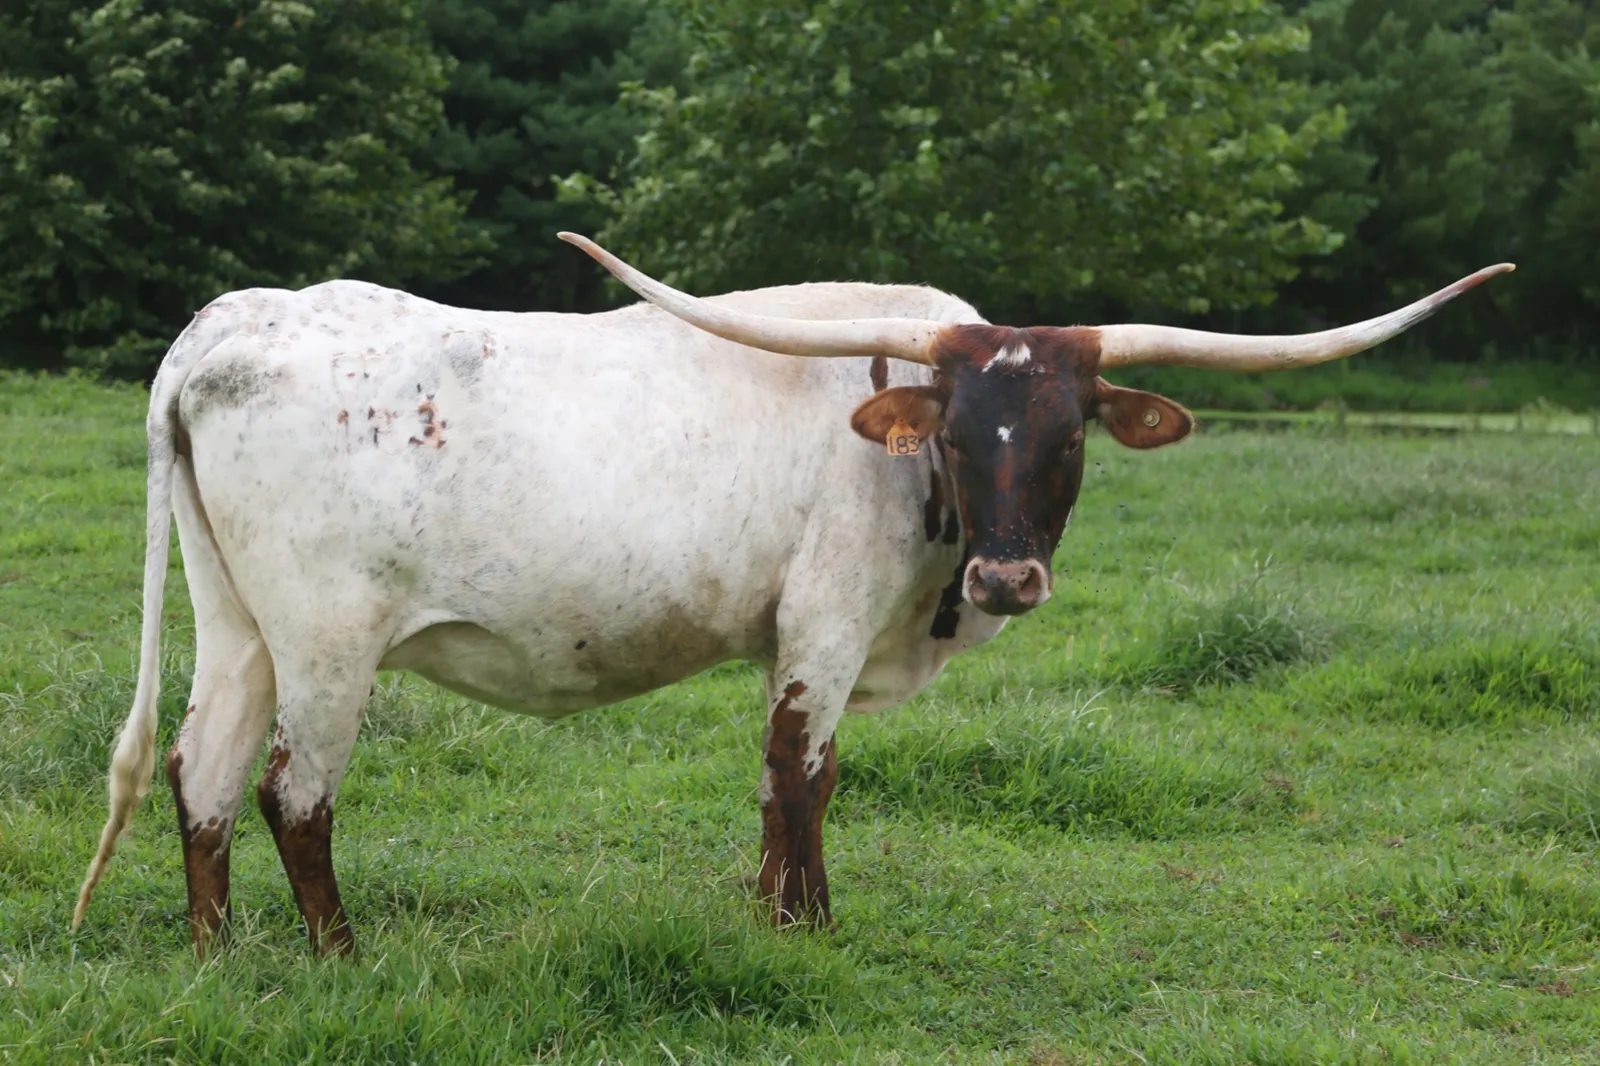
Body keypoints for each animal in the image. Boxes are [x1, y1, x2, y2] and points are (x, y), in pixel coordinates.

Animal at [73, 232, 1511, 955]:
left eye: (1065, 436)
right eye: (958, 430)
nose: (1008, 573)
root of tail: (227, 327)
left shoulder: (786, 631)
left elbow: (772, 778)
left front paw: (766, 914)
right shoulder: (828, 614)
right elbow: (806, 768)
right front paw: (810, 926)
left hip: (240, 623)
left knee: (203, 771)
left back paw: (215, 951)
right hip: (330, 638)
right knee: (291, 791)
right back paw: (338, 954)